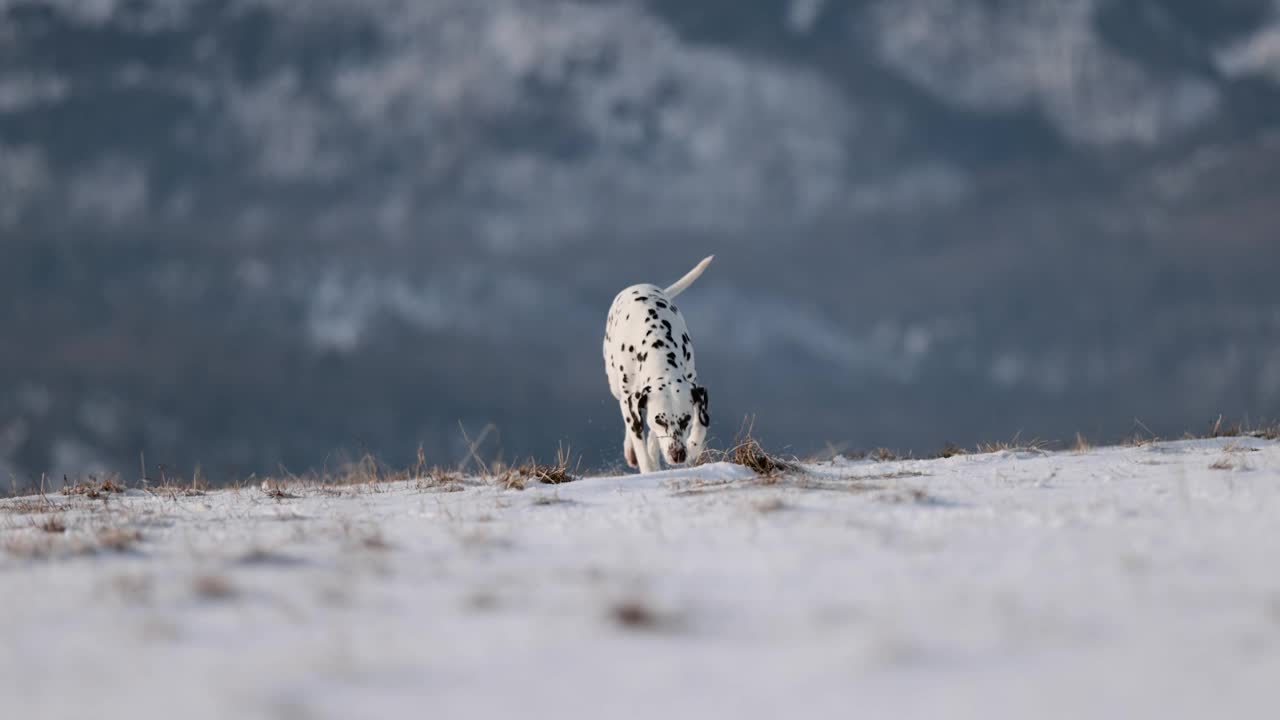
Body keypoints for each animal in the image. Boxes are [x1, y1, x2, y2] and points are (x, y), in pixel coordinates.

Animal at [599, 256, 711, 471]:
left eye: (686, 419)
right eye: (660, 420)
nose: (678, 455)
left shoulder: (695, 388)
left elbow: (701, 424)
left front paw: (693, 445)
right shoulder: (631, 401)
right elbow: (639, 439)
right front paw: (648, 469)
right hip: (616, 387)